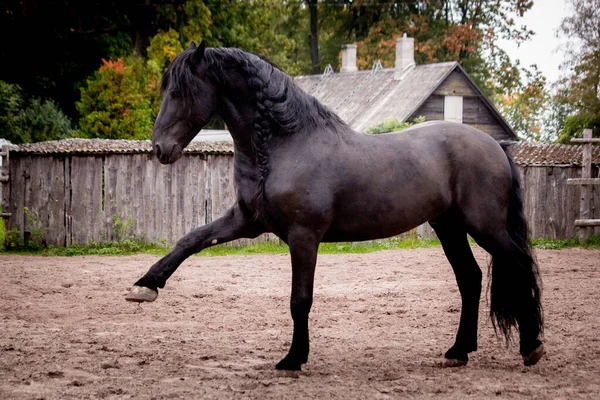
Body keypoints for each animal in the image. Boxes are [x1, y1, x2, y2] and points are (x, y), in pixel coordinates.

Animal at [126, 41, 544, 372]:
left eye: (178, 92)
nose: (160, 148)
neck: (285, 143)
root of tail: (495, 147)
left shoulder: (303, 236)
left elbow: (300, 299)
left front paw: (294, 358)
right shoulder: (247, 220)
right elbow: (191, 239)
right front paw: (145, 285)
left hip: (485, 226)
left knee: (519, 264)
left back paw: (531, 347)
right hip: (450, 227)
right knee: (470, 279)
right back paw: (459, 351)